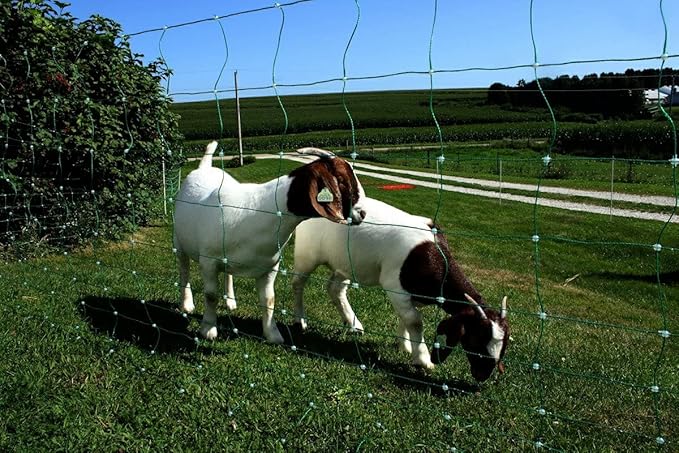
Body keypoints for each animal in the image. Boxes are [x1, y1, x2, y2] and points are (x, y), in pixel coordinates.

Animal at [174, 141, 366, 344]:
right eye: (342, 180)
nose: (362, 213)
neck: (257, 212)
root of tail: (205, 167)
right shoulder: (209, 262)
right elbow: (211, 295)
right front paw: (208, 330)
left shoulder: (269, 267)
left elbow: (269, 300)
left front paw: (273, 334)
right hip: (179, 242)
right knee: (184, 269)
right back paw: (186, 304)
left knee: (228, 274)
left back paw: (231, 302)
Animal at [291, 196, 509, 382]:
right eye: (476, 340)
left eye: (503, 346)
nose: (482, 375)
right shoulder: (393, 284)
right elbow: (415, 321)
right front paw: (423, 359)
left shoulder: (411, 294)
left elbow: (406, 318)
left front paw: (405, 346)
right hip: (306, 254)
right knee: (297, 284)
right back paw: (299, 320)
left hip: (345, 263)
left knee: (335, 289)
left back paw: (354, 324)